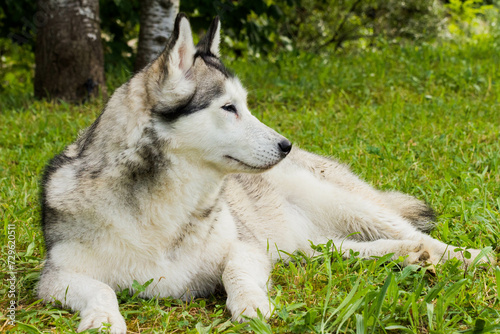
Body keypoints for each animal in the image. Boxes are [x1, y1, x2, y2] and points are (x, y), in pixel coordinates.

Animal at [39, 13, 492, 334]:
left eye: (247, 104)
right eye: (228, 108)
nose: (285, 145)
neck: (164, 207)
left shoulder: (248, 248)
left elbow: (235, 270)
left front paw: (250, 304)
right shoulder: (55, 278)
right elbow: (100, 289)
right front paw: (101, 320)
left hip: (339, 202)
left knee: (416, 234)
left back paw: (466, 255)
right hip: (307, 246)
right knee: (352, 248)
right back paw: (405, 255)